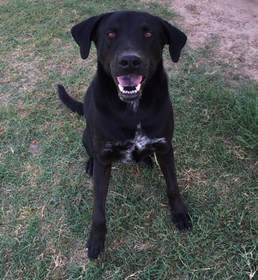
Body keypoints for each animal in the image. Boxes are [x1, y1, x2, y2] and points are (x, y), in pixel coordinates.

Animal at [58, 10, 191, 260]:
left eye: (148, 34)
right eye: (110, 34)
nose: (130, 61)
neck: (132, 108)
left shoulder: (165, 147)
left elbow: (173, 185)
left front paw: (179, 213)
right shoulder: (104, 156)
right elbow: (98, 206)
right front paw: (96, 239)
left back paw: (147, 160)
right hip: (87, 135)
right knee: (90, 151)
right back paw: (90, 164)